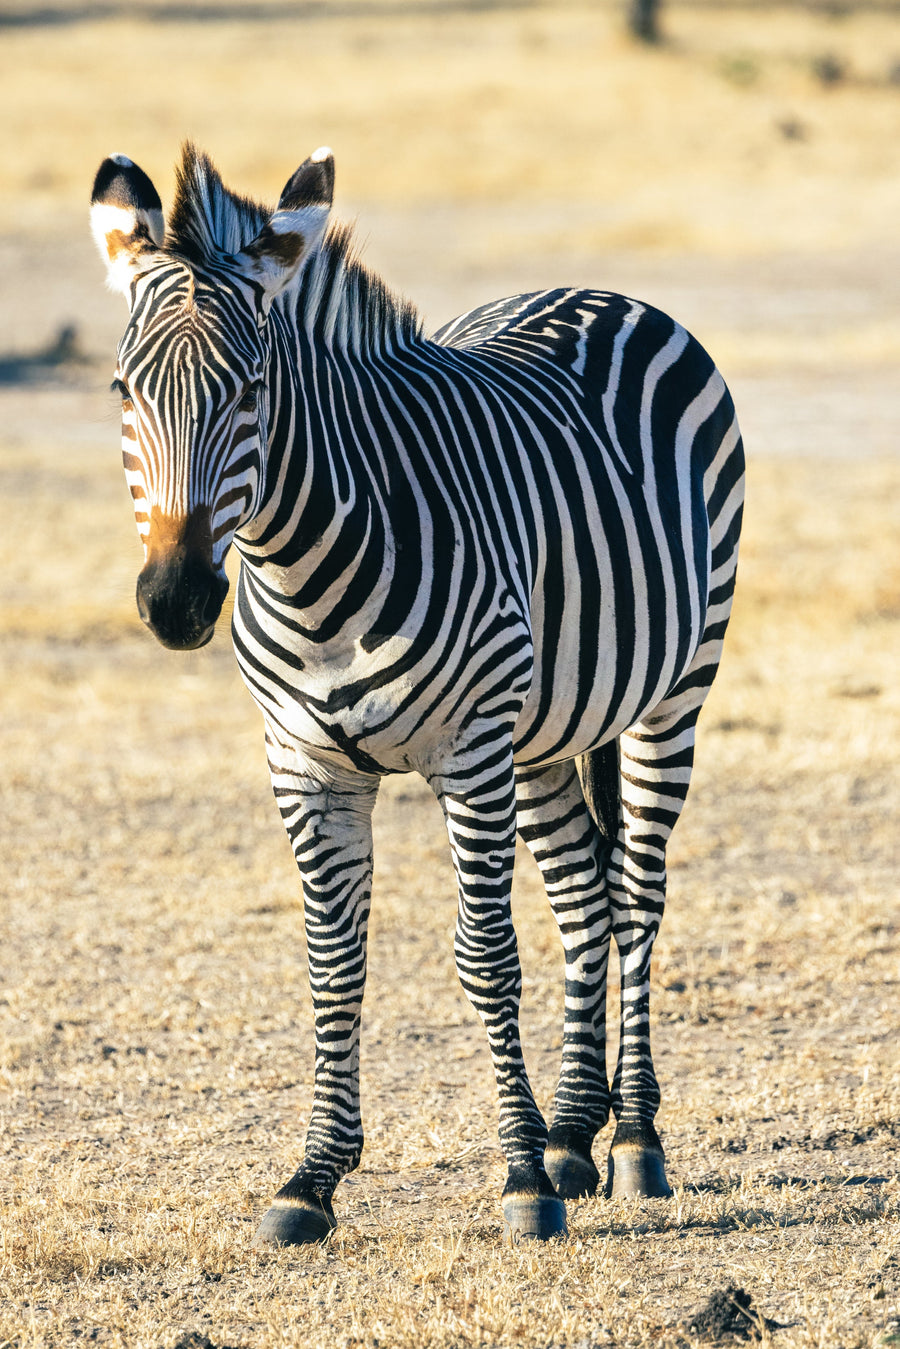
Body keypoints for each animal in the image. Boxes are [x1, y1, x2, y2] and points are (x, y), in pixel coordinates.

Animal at [90, 143, 744, 1247]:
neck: (307, 574)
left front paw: (519, 1177)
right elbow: (332, 963)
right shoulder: (305, 765)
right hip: (546, 732)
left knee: (639, 895)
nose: (175, 602)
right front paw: (313, 1177)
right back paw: (576, 1133)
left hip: (673, 691)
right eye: (121, 389)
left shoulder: (468, 750)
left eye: (251, 388)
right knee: (583, 897)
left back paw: (633, 1140)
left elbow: (485, 955)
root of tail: (600, 291)